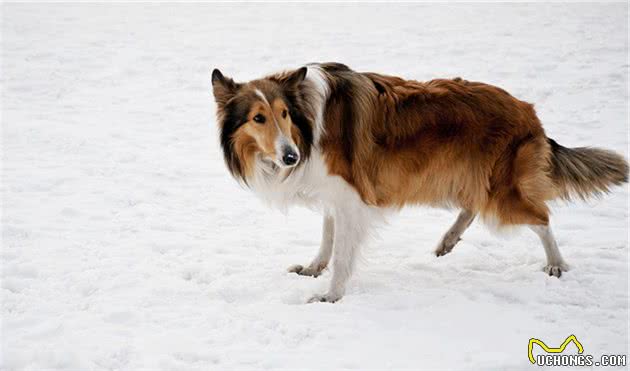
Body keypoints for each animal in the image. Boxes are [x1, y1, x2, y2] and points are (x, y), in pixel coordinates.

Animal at [211, 62, 628, 304]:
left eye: (283, 113)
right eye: (258, 118)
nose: (291, 157)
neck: (308, 121)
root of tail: (530, 113)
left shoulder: (349, 198)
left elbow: (342, 253)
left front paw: (331, 296)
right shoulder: (334, 194)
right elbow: (327, 239)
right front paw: (314, 269)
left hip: (501, 192)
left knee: (541, 218)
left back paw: (556, 265)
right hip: (458, 179)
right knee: (474, 206)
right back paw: (447, 241)